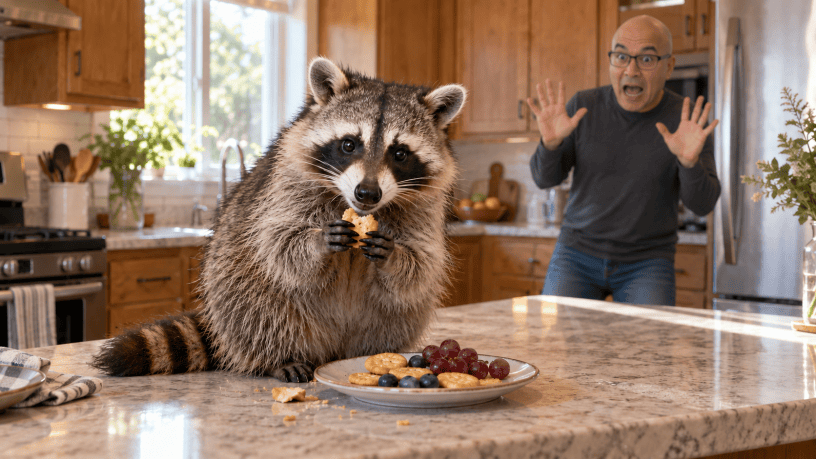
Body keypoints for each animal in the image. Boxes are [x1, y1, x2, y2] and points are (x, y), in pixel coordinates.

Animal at [91, 57, 467, 382]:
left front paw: (394, 255)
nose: (367, 193)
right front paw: (319, 241)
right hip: (234, 282)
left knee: (403, 309)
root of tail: (331, 350)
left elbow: (422, 264)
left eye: (400, 153)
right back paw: (278, 357)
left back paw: (376, 354)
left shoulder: (424, 206)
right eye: (349, 144)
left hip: (391, 318)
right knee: (257, 305)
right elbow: (279, 242)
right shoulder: (285, 183)